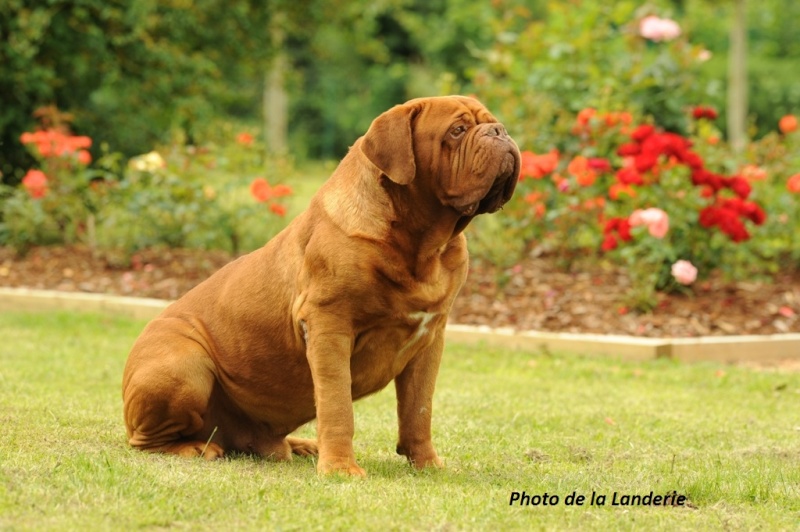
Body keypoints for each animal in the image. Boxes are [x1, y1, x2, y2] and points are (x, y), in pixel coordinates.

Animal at [120, 94, 520, 474]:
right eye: (457, 130)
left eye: (491, 122)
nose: (500, 131)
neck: (421, 245)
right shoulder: (329, 326)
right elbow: (337, 404)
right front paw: (341, 469)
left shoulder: (430, 339)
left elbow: (418, 409)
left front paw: (426, 464)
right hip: (184, 365)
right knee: (147, 440)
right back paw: (196, 448)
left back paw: (298, 445)